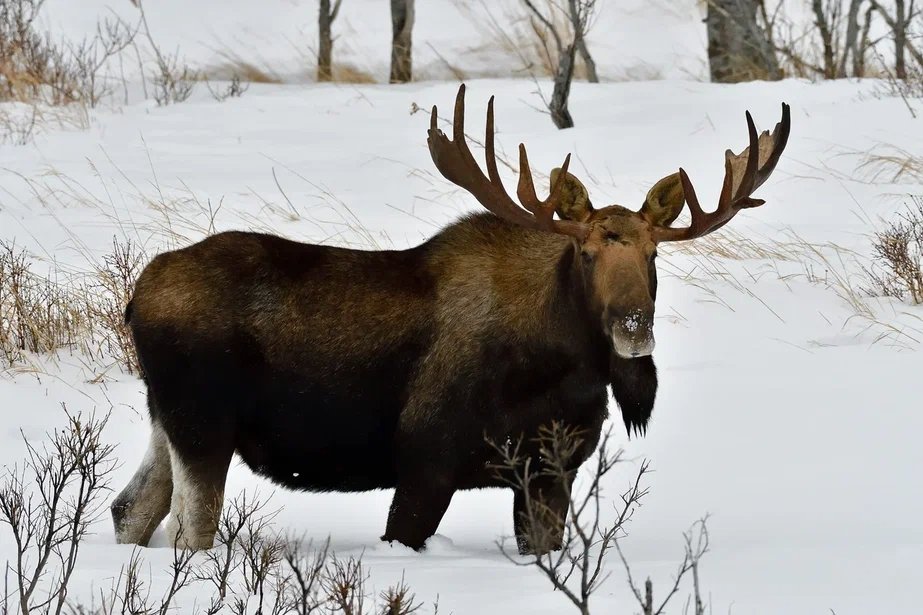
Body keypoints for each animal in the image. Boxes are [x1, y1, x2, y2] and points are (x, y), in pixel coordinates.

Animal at [111, 84, 790, 555]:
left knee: (130, 510)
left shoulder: (549, 474)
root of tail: (136, 297)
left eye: (653, 255)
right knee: (189, 532)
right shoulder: (425, 462)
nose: (633, 327)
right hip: (202, 422)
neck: (563, 372)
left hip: (167, 420)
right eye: (587, 253)